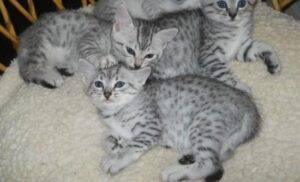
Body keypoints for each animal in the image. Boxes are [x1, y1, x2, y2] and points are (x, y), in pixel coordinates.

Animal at [17, 5, 177, 88]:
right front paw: (103, 58)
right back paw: (51, 76)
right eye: (130, 50)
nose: (138, 65)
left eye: (149, 56)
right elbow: (89, 49)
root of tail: (24, 37)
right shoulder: (86, 39)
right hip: (41, 46)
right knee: (30, 68)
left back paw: (66, 68)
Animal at [81, 62, 260, 181]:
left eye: (119, 84)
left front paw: (117, 160)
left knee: (211, 163)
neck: (117, 112)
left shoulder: (151, 128)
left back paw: (176, 172)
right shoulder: (119, 128)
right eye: (98, 84)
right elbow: (106, 138)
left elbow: (133, 146)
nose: (107, 94)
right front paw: (115, 146)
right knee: (225, 154)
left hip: (204, 123)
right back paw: (188, 157)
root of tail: (249, 105)